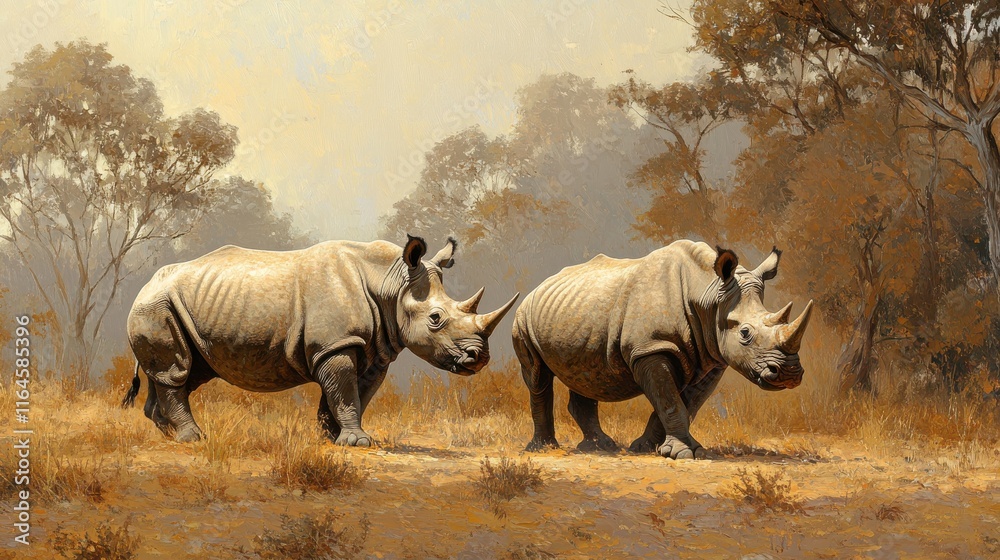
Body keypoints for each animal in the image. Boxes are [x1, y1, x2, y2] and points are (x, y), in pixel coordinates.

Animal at [121, 236, 518, 445]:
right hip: (155, 306)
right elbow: (345, 392)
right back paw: (194, 439)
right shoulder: (335, 344)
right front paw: (358, 442)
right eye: (436, 319)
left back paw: (168, 433)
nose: (479, 358)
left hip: (174, 306)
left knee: (186, 370)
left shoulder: (370, 348)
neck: (390, 282)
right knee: (177, 370)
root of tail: (144, 285)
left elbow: (350, 394)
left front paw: (333, 438)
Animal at [512, 240, 813, 459]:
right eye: (745, 333)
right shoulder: (651, 347)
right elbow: (669, 400)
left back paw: (601, 447)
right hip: (523, 317)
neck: (708, 292)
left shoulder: (711, 357)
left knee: (586, 372)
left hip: (577, 311)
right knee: (537, 376)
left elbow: (684, 403)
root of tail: (538, 286)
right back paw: (544, 448)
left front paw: (651, 448)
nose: (788, 374)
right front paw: (684, 454)